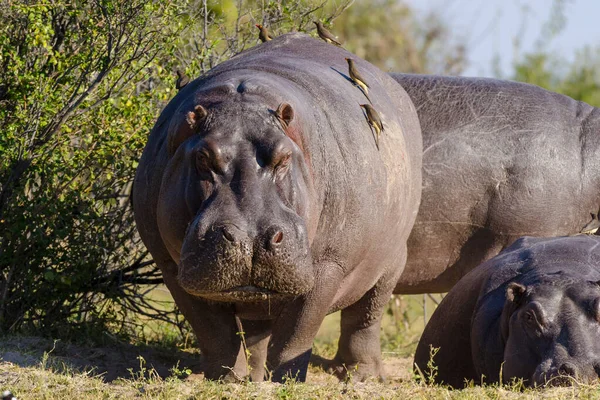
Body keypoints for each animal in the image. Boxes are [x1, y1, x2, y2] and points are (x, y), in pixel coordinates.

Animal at [134, 33, 422, 382]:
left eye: (284, 156)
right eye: (202, 156)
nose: (251, 238)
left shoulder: (327, 266)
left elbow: (297, 334)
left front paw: (287, 380)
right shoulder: (170, 264)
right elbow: (214, 332)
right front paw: (228, 379)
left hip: (391, 261)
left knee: (365, 318)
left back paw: (363, 376)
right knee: (257, 332)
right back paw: (256, 378)